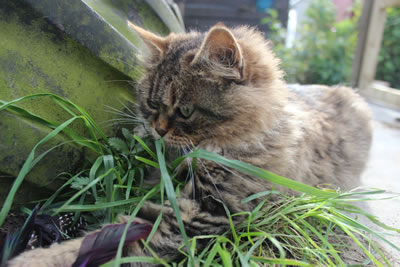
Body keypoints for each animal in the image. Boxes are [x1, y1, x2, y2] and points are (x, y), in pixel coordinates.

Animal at [7, 22, 372, 266]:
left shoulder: (206, 212)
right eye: (152, 104)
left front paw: (32, 259)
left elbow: (114, 241)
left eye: (184, 110)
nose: (157, 130)